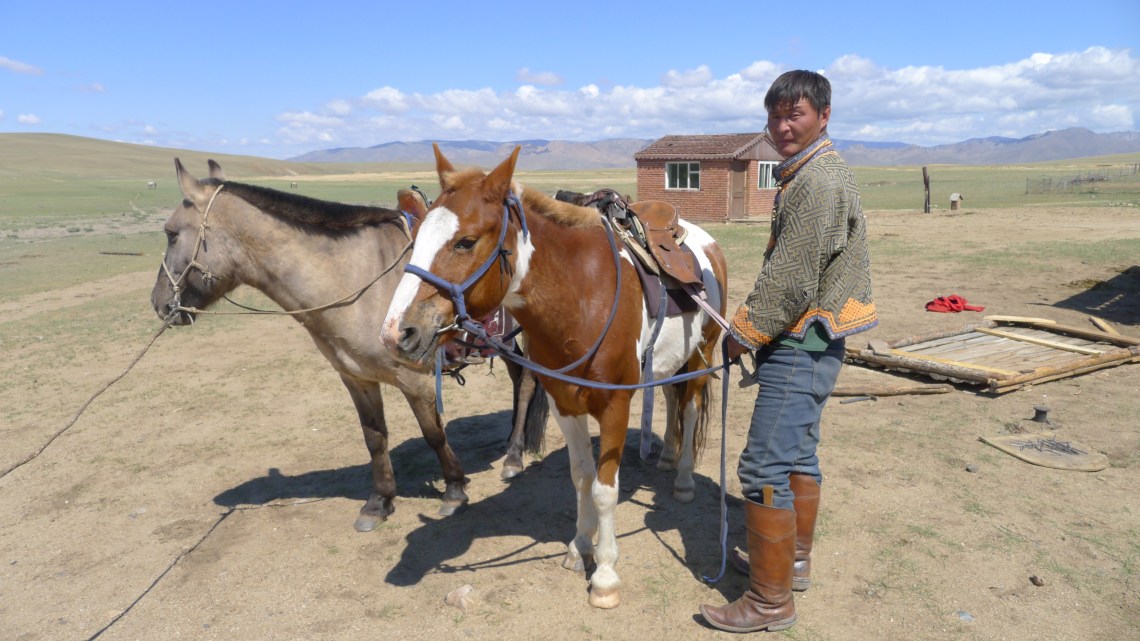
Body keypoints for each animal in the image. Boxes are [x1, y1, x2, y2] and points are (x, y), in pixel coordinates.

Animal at [150, 158, 549, 533]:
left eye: (170, 234)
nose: (159, 303)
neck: (354, 281)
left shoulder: (415, 379)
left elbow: (433, 434)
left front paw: (453, 490)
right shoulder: (356, 379)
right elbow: (374, 438)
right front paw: (379, 502)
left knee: (528, 384)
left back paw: (514, 458)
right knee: (518, 380)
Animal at [381, 145, 729, 608]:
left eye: (466, 241)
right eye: (415, 238)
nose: (396, 332)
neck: (580, 295)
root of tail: (705, 242)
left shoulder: (615, 405)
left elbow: (604, 489)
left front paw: (605, 575)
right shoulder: (565, 403)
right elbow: (581, 476)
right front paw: (580, 546)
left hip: (702, 355)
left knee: (689, 409)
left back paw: (685, 478)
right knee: (673, 400)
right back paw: (669, 457)